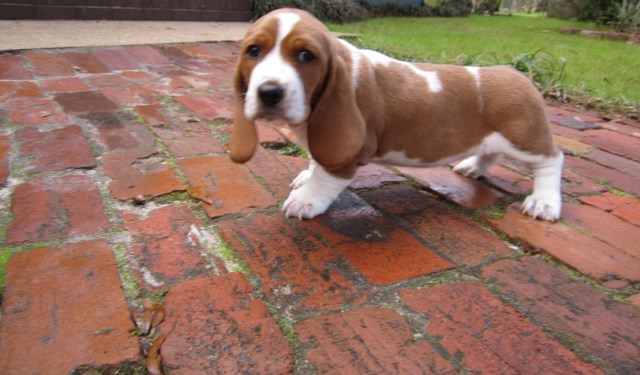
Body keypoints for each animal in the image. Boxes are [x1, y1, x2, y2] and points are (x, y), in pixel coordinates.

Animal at [229, 8, 560, 220]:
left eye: (306, 55)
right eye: (253, 51)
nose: (269, 92)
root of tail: (517, 74)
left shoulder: (347, 155)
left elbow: (325, 177)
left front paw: (306, 200)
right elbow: (316, 159)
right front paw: (306, 175)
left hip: (524, 139)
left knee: (551, 161)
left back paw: (544, 202)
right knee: (490, 153)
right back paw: (471, 167)